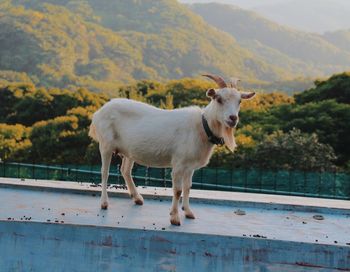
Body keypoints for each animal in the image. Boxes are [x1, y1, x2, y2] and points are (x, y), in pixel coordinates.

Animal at [89, 74, 254, 225]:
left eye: (239, 101)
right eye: (219, 99)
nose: (233, 118)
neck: (202, 127)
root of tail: (98, 112)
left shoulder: (190, 166)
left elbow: (188, 187)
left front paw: (188, 212)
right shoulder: (179, 164)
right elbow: (178, 190)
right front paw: (174, 218)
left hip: (129, 151)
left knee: (125, 171)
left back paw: (137, 198)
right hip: (106, 144)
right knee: (105, 172)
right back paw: (104, 203)